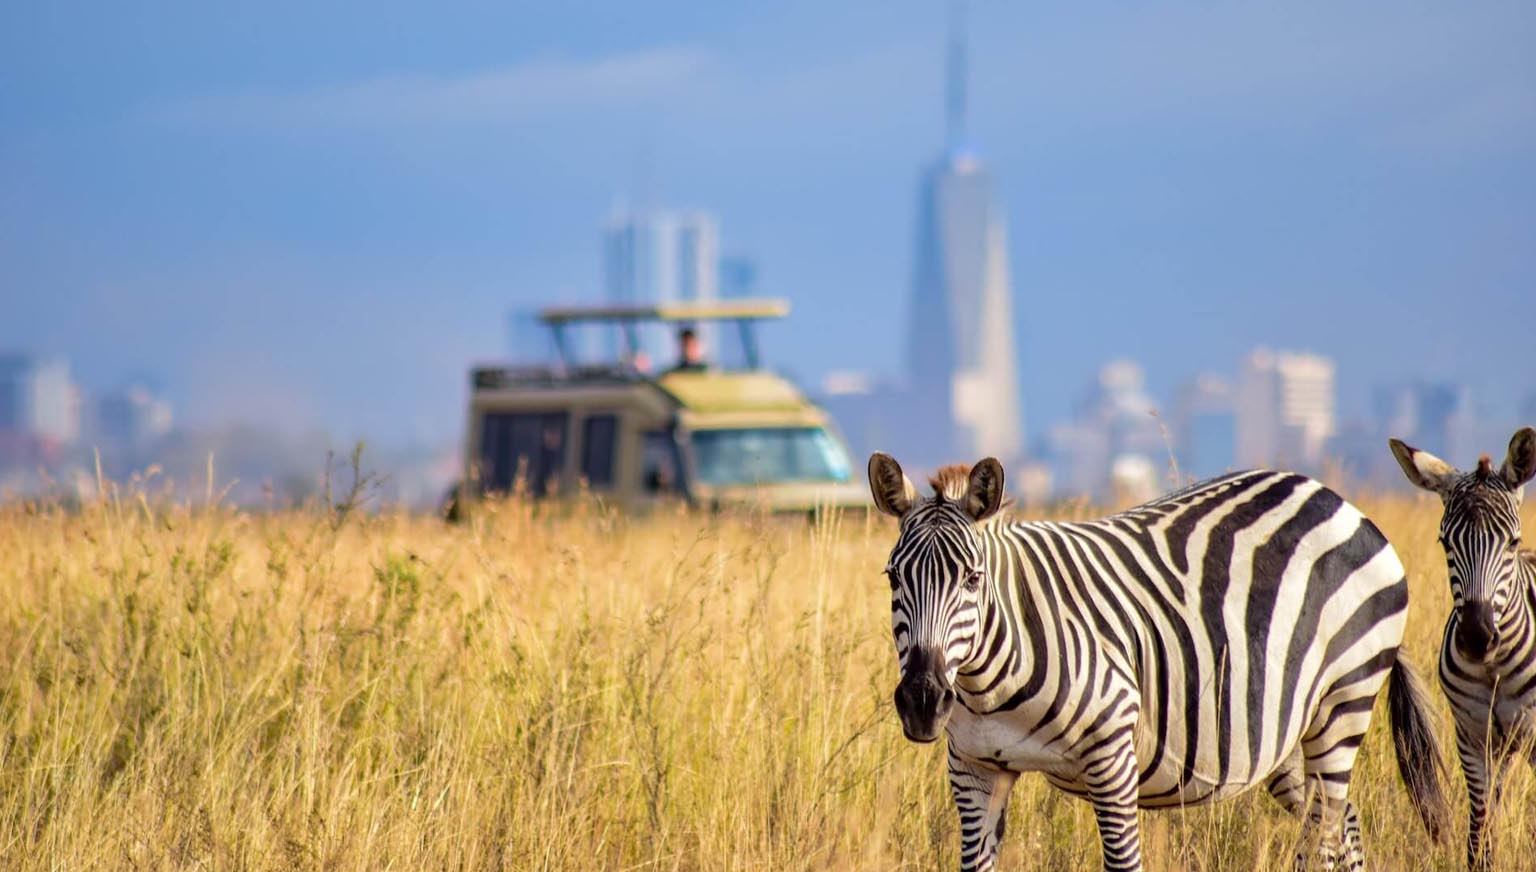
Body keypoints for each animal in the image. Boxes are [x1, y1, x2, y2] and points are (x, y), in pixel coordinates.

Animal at [868, 453, 1448, 872]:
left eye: (972, 579)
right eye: (893, 578)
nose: (922, 701)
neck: (988, 683)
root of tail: (1336, 499)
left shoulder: (1111, 759)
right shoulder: (975, 769)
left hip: (1344, 700)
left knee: (1324, 832)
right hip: (1282, 732)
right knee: (1342, 822)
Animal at [1389, 426, 1536, 871]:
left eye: (1511, 542)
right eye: (1444, 542)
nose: (1475, 636)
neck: (1494, 668)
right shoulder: (1472, 737)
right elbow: (1480, 834)